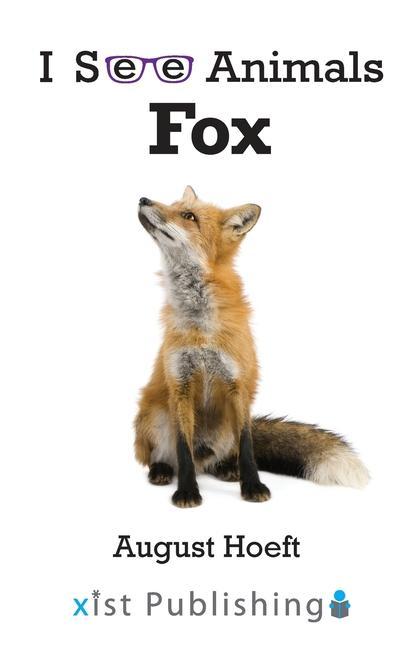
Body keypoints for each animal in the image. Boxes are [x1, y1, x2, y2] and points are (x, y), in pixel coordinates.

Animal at [134, 186, 369, 507]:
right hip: (155, 416)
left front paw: (253, 486)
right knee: (169, 456)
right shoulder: (180, 384)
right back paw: (161, 470)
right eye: (173, 204)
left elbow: (247, 446)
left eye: (188, 215)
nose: (143, 199)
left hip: (225, 429)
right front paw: (187, 491)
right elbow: (183, 449)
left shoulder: (239, 384)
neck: (202, 327)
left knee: (224, 455)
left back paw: (227, 468)